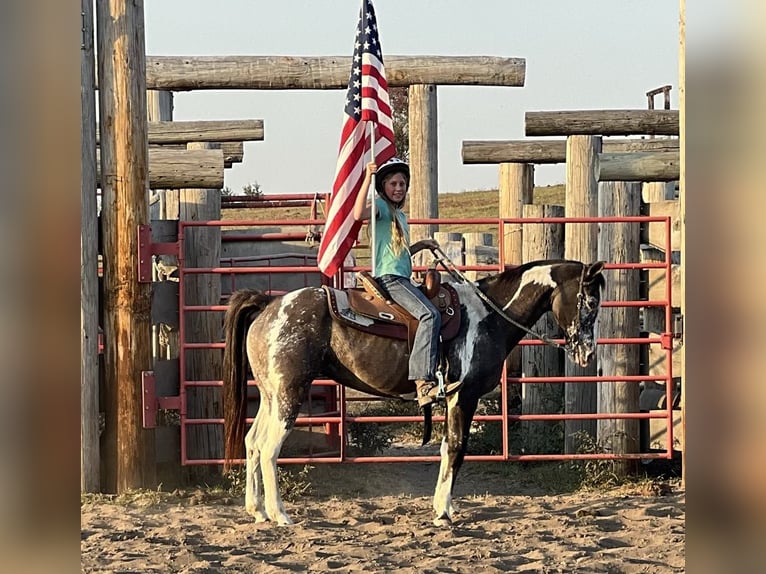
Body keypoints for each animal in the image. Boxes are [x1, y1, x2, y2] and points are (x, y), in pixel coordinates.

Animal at [222, 258, 608, 528]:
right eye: (590, 302)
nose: (588, 354)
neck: (488, 315)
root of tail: (269, 304)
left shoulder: (452, 399)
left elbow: (445, 449)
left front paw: (441, 506)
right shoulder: (464, 396)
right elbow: (456, 449)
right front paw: (444, 513)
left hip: (271, 396)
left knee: (253, 442)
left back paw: (257, 510)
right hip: (290, 394)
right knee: (270, 448)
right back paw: (280, 515)